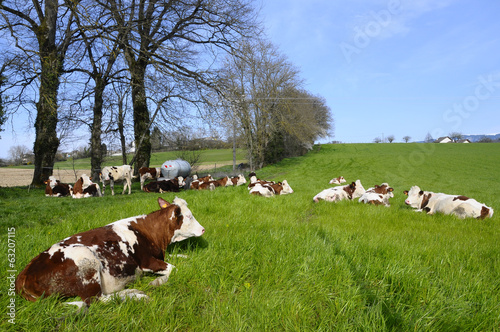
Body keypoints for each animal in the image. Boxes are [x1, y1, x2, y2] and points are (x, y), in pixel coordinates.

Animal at [16, 196, 203, 308]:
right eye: (189, 216)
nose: (203, 229)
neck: (154, 236)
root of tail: (24, 274)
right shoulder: (147, 261)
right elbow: (174, 269)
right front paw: (156, 282)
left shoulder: (160, 255)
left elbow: (182, 259)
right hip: (86, 260)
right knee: (96, 300)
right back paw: (137, 296)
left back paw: (132, 292)